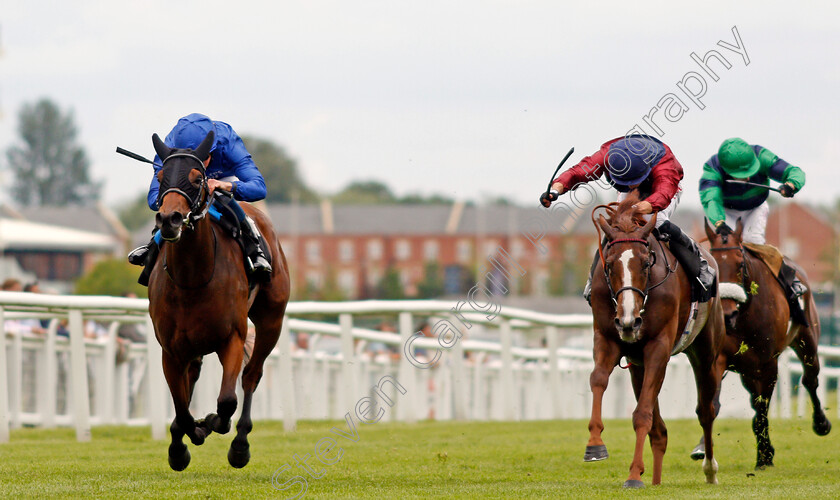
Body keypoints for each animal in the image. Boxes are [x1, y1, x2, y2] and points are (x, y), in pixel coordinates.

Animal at [145, 131, 288, 470]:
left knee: (251, 376)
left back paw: (239, 445)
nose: (169, 219)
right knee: (193, 377)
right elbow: (181, 406)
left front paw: (211, 424)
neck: (192, 278)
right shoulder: (170, 349)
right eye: (160, 176)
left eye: (198, 180)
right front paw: (181, 446)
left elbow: (226, 403)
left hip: (271, 321)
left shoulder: (232, 338)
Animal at [584, 192, 728, 488]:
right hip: (637, 365)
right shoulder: (607, 338)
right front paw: (595, 445)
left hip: (705, 353)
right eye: (609, 264)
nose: (629, 320)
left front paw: (633, 476)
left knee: (706, 411)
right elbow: (598, 380)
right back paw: (656, 479)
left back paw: (710, 469)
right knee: (659, 429)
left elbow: (642, 414)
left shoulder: (658, 347)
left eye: (645, 262)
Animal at [688, 218, 832, 468]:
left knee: (810, 379)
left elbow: (761, 408)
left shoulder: (767, 364)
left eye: (740, 265)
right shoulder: (721, 359)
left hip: (807, 339)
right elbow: (713, 401)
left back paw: (821, 423)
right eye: (714, 267)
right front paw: (703, 448)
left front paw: (765, 455)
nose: (727, 314)